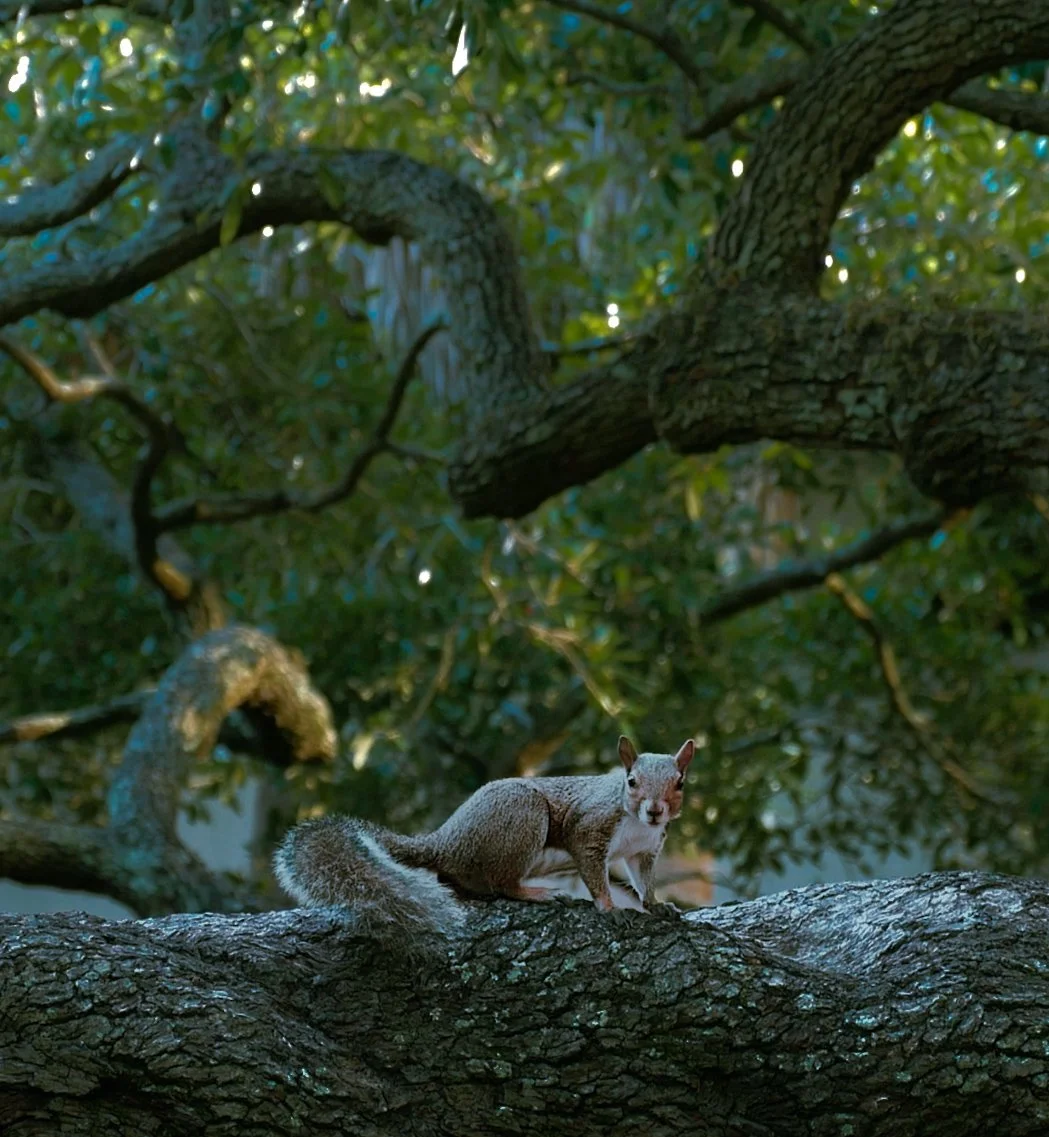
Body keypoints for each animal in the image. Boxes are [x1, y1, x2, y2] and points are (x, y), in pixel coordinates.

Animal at [273, 734, 695, 954]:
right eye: (631, 781)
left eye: (680, 783)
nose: (655, 811)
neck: (634, 822)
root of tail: (445, 841)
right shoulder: (589, 829)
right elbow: (593, 872)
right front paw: (609, 908)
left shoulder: (644, 850)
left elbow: (643, 881)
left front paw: (657, 905)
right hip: (524, 814)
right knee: (502, 884)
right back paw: (538, 894)